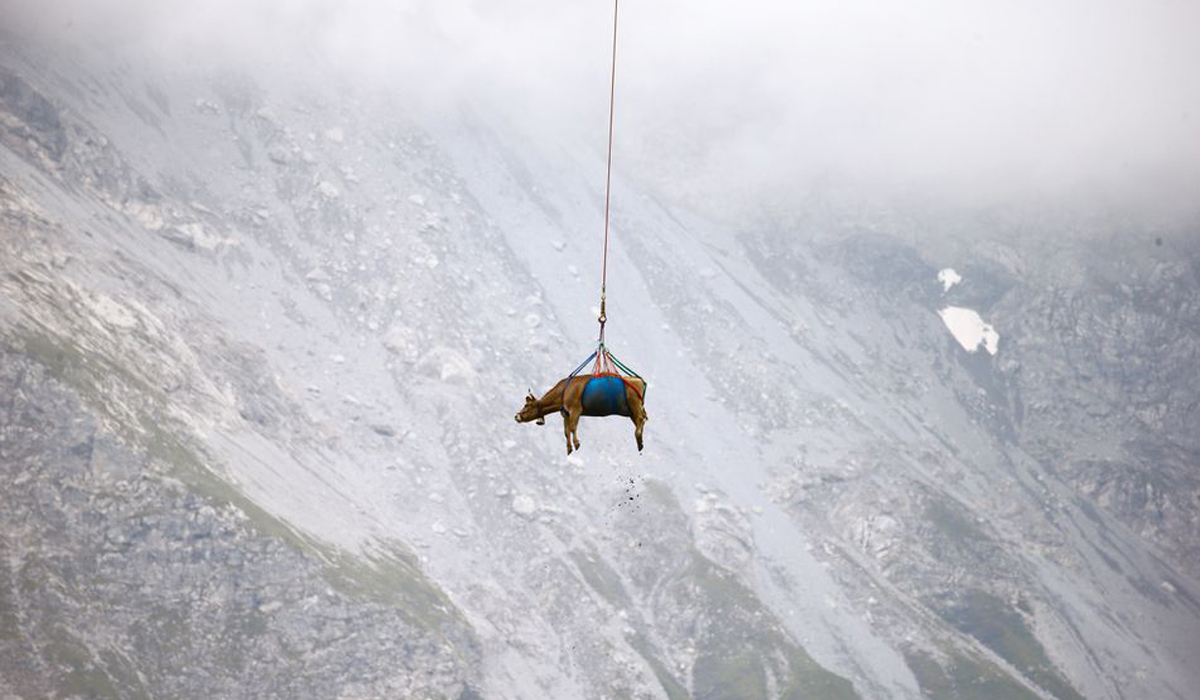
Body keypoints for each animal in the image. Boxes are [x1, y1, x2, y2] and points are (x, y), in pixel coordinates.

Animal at [515, 374, 648, 454]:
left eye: (527, 405)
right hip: (631, 410)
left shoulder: (576, 409)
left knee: (641, 418)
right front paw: (569, 448)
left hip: (634, 404)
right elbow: (566, 431)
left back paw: (638, 435)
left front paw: (577, 444)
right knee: (642, 419)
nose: (516, 416)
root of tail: (637, 379)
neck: (563, 392)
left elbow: (573, 427)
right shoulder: (566, 414)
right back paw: (640, 442)